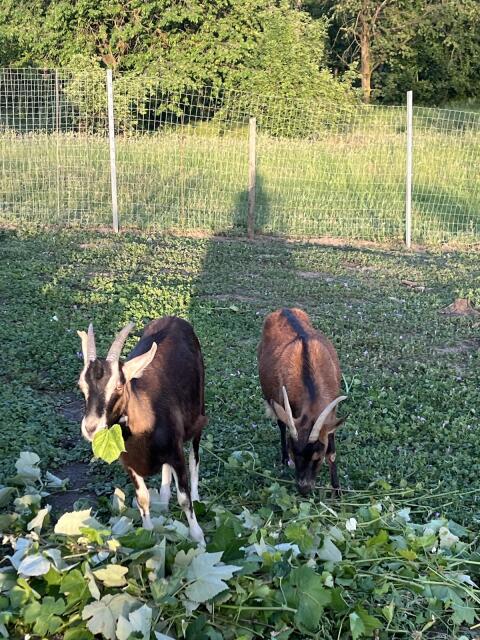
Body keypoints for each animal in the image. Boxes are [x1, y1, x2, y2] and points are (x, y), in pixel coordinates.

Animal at [77, 317, 207, 543]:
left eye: (119, 386)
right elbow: (143, 498)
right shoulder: (128, 462)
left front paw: (198, 537)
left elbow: (184, 498)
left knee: (195, 456)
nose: (91, 427)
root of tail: (174, 319)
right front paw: (147, 535)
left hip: (199, 412)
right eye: (81, 386)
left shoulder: (176, 453)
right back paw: (163, 499)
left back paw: (197, 497)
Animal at [257, 308, 346, 496]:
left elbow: (332, 452)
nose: (304, 488)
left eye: (317, 457)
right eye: (293, 452)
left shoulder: (331, 412)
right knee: (281, 424)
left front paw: (337, 490)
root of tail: (283, 309)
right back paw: (283, 460)